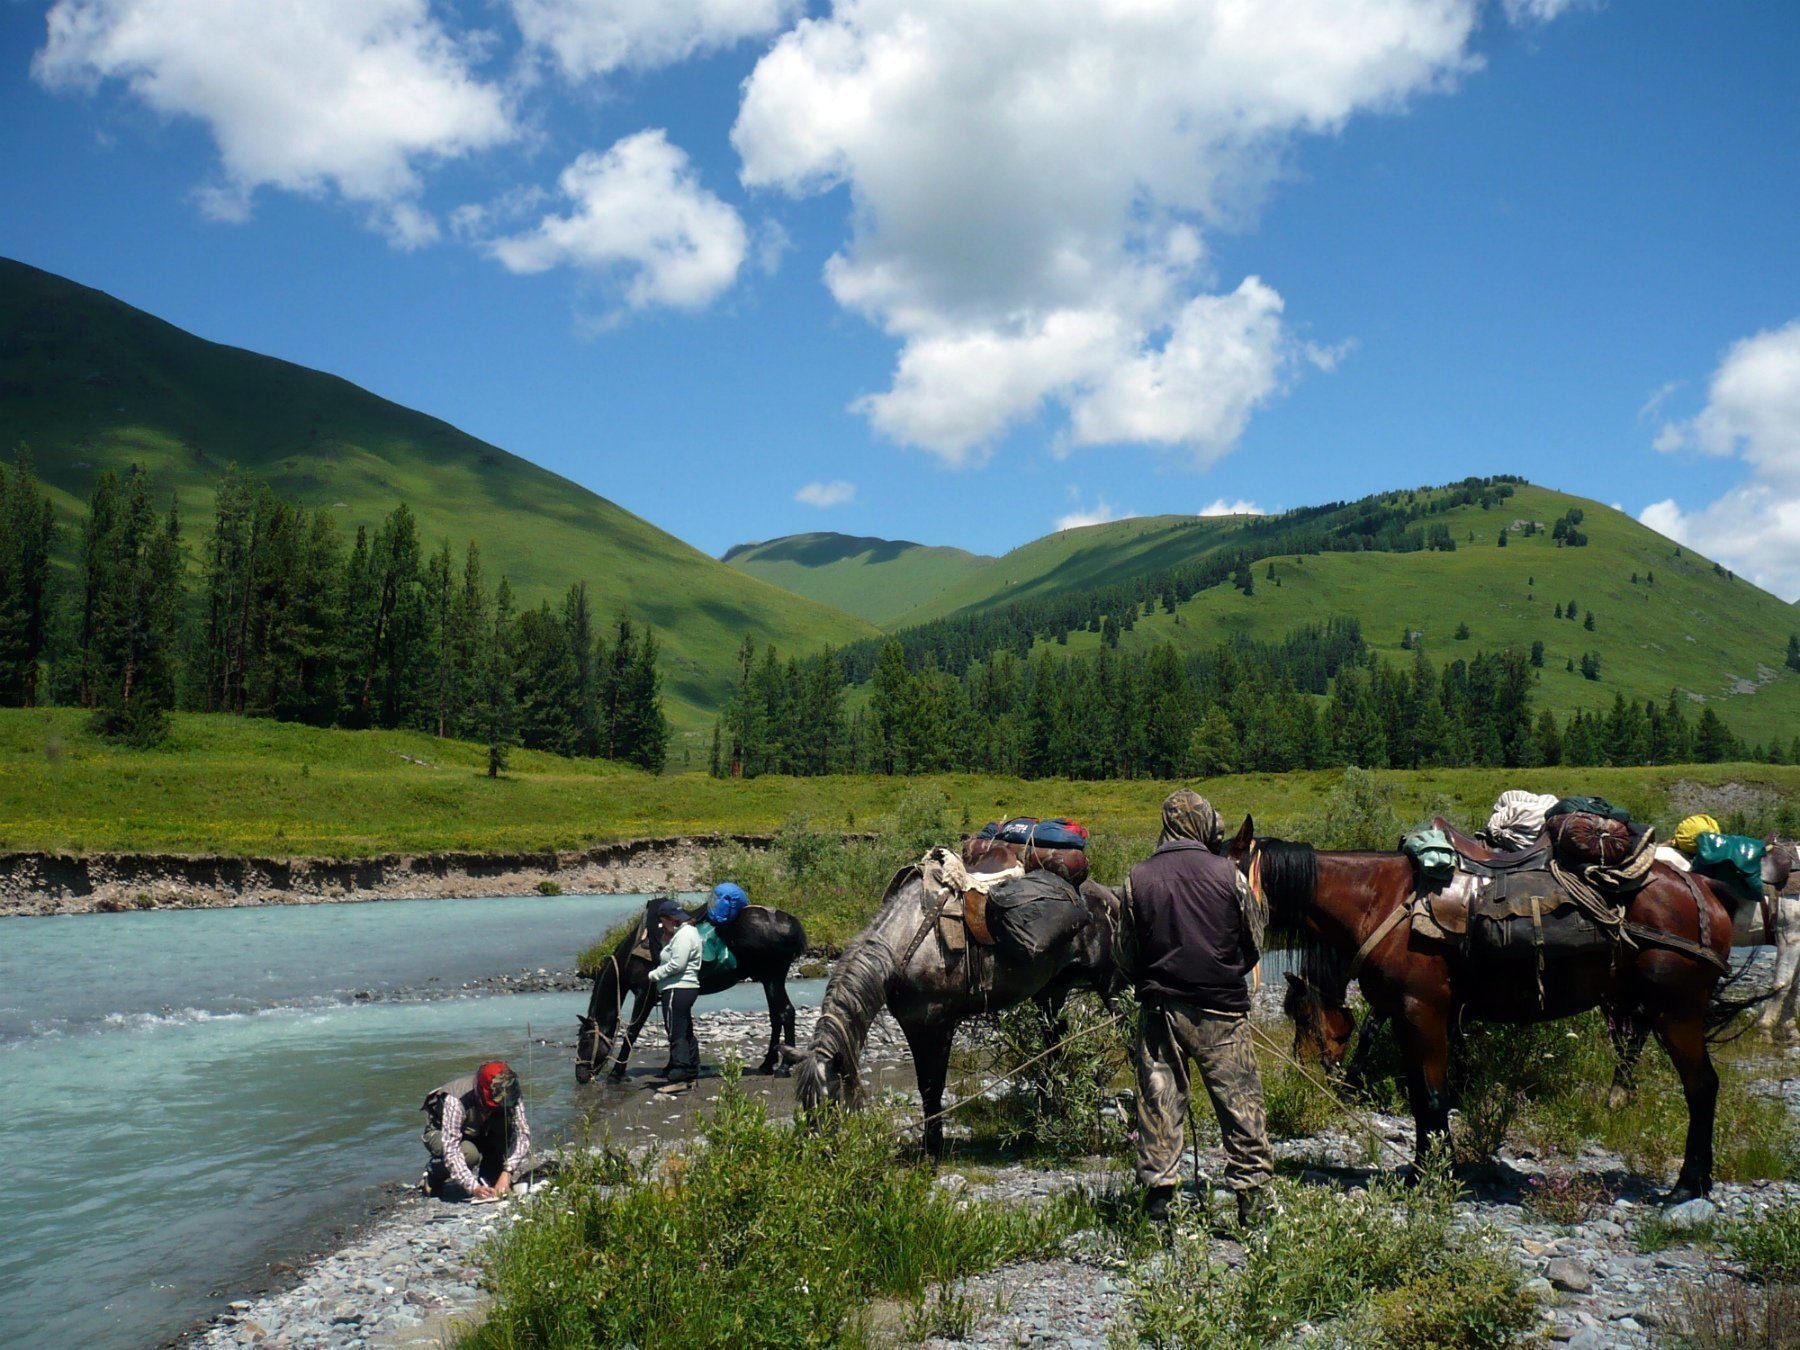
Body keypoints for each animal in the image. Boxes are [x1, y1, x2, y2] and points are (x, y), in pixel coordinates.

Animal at [579, 900, 806, 1087]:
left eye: (585, 1042)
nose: (580, 1076)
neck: (632, 955)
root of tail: (791, 924)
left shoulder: (646, 996)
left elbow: (633, 1032)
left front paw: (616, 1074)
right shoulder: (668, 995)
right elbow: (678, 1029)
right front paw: (674, 1067)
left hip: (773, 978)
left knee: (785, 1012)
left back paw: (784, 1067)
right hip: (769, 980)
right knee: (776, 1016)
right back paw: (767, 1064)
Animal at [781, 860, 1116, 1159]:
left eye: (831, 1102)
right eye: (803, 1104)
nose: (820, 1153)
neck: (909, 942)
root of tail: (1106, 895)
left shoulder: (938, 1024)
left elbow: (933, 1086)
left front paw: (933, 1149)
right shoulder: (912, 1024)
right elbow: (924, 1086)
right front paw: (930, 1145)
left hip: (1110, 984)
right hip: (1051, 992)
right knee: (1054, 1047)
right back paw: (1051, 1115)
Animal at [1238, 813, 1756, 1202]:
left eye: (1302, 1013)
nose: (1307, 1067)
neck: (1378, 900)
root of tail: (1703, 886)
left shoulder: (1422, 1011)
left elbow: (1431, 1096)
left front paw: (1436, 1176)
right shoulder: (1412, 1017)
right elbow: (1420, 1095)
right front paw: (1423, 1171)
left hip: (1676, 1012)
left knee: (1701, 1087)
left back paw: (1688, 1186)